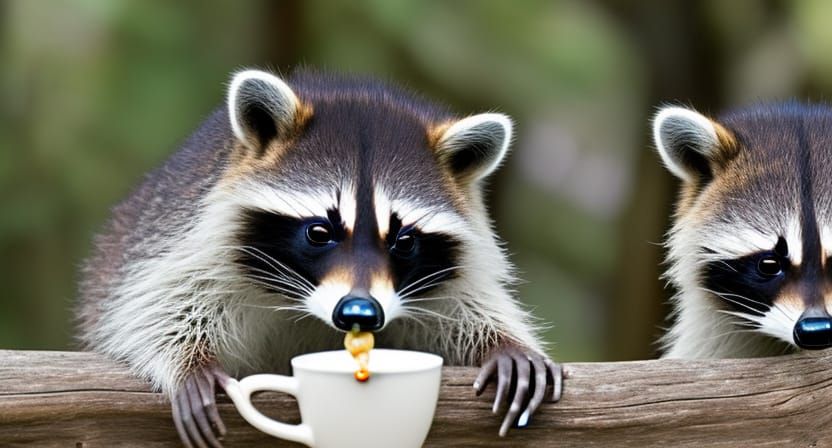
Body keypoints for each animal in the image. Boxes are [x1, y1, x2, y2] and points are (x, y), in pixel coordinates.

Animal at [78, 69, 562, 446]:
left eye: (404, 241)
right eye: (319, 233)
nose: (360, 313)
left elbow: (467, 308)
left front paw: (503, 342)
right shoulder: (183, 239)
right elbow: (157, 307)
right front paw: (187, 362)